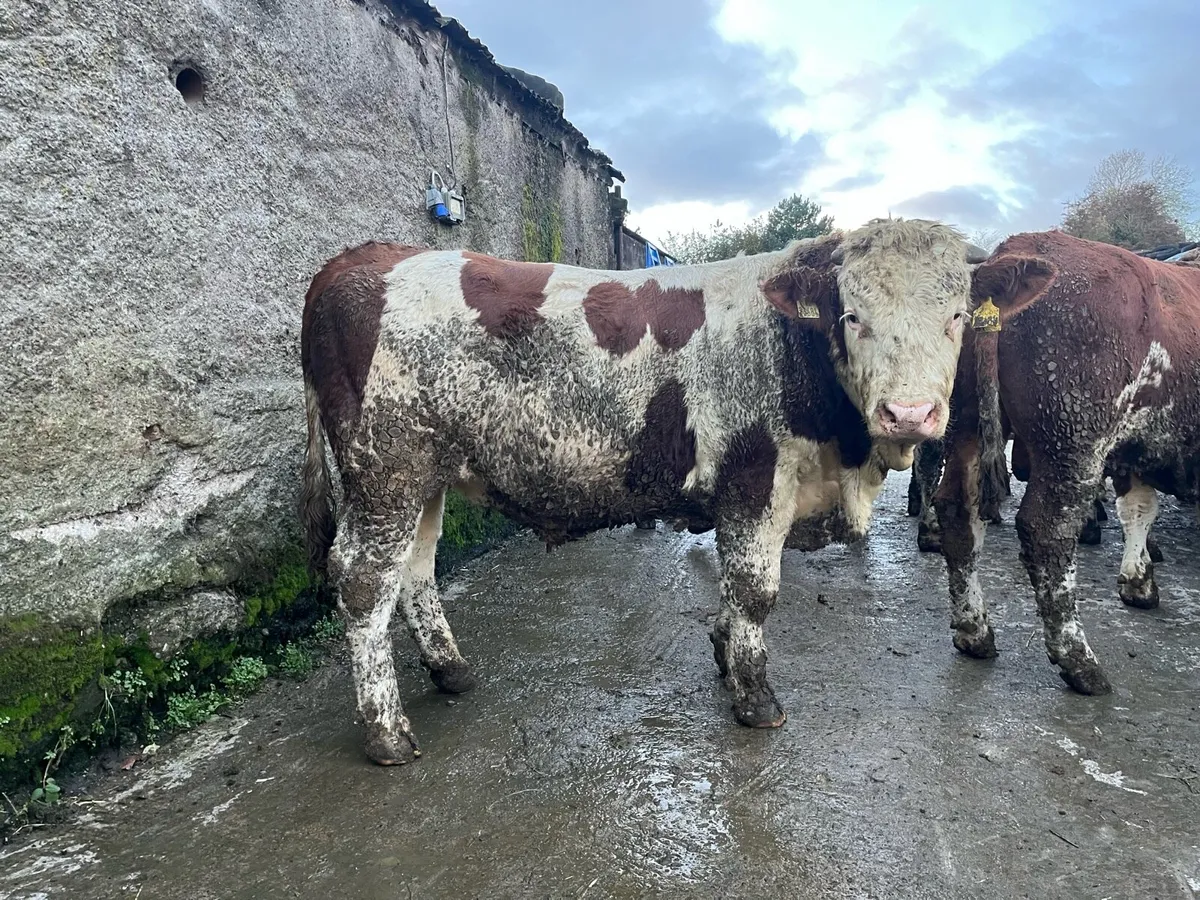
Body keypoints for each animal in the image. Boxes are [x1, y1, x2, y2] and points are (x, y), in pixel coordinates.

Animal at [298, 220, 987, 765]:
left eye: (956, 316)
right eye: (852, 316)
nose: (909, 413)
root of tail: (363, 259)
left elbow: (732, 591)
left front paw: (724, 655)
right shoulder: (755, 482)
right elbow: (755, 592)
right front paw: (755, 696)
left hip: (424, 477)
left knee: (415, 569)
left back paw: (451, 670)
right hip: (385, 470)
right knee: (364, 583)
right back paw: (387, 733)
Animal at [931, 230, 1200, 695]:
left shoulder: (1138, 448)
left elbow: (1140, 510)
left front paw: (1139, 581)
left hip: (965, 424)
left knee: (957, 512)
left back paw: (974, 631)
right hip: (1073, 442)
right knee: (1047, 531)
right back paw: (1078, 659)